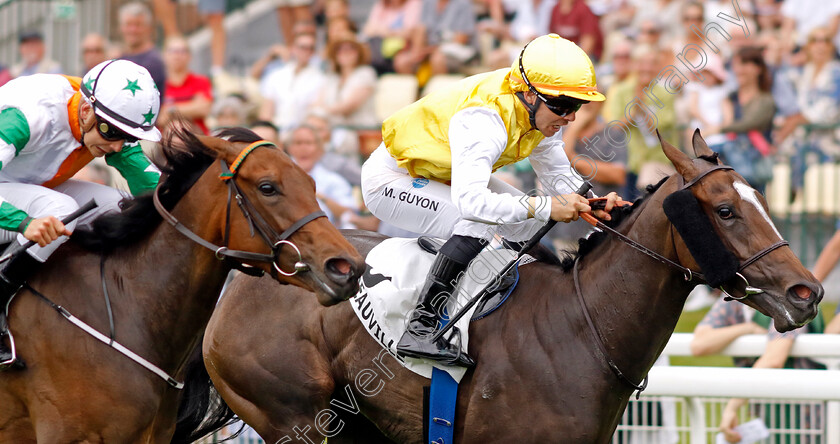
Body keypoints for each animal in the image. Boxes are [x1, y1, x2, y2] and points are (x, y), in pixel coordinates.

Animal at [182, 130, 820, 442]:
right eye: (725, 211)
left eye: (762, 201)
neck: (582, 331)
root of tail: (251, 272)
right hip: (294, 414)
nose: (807, 293)